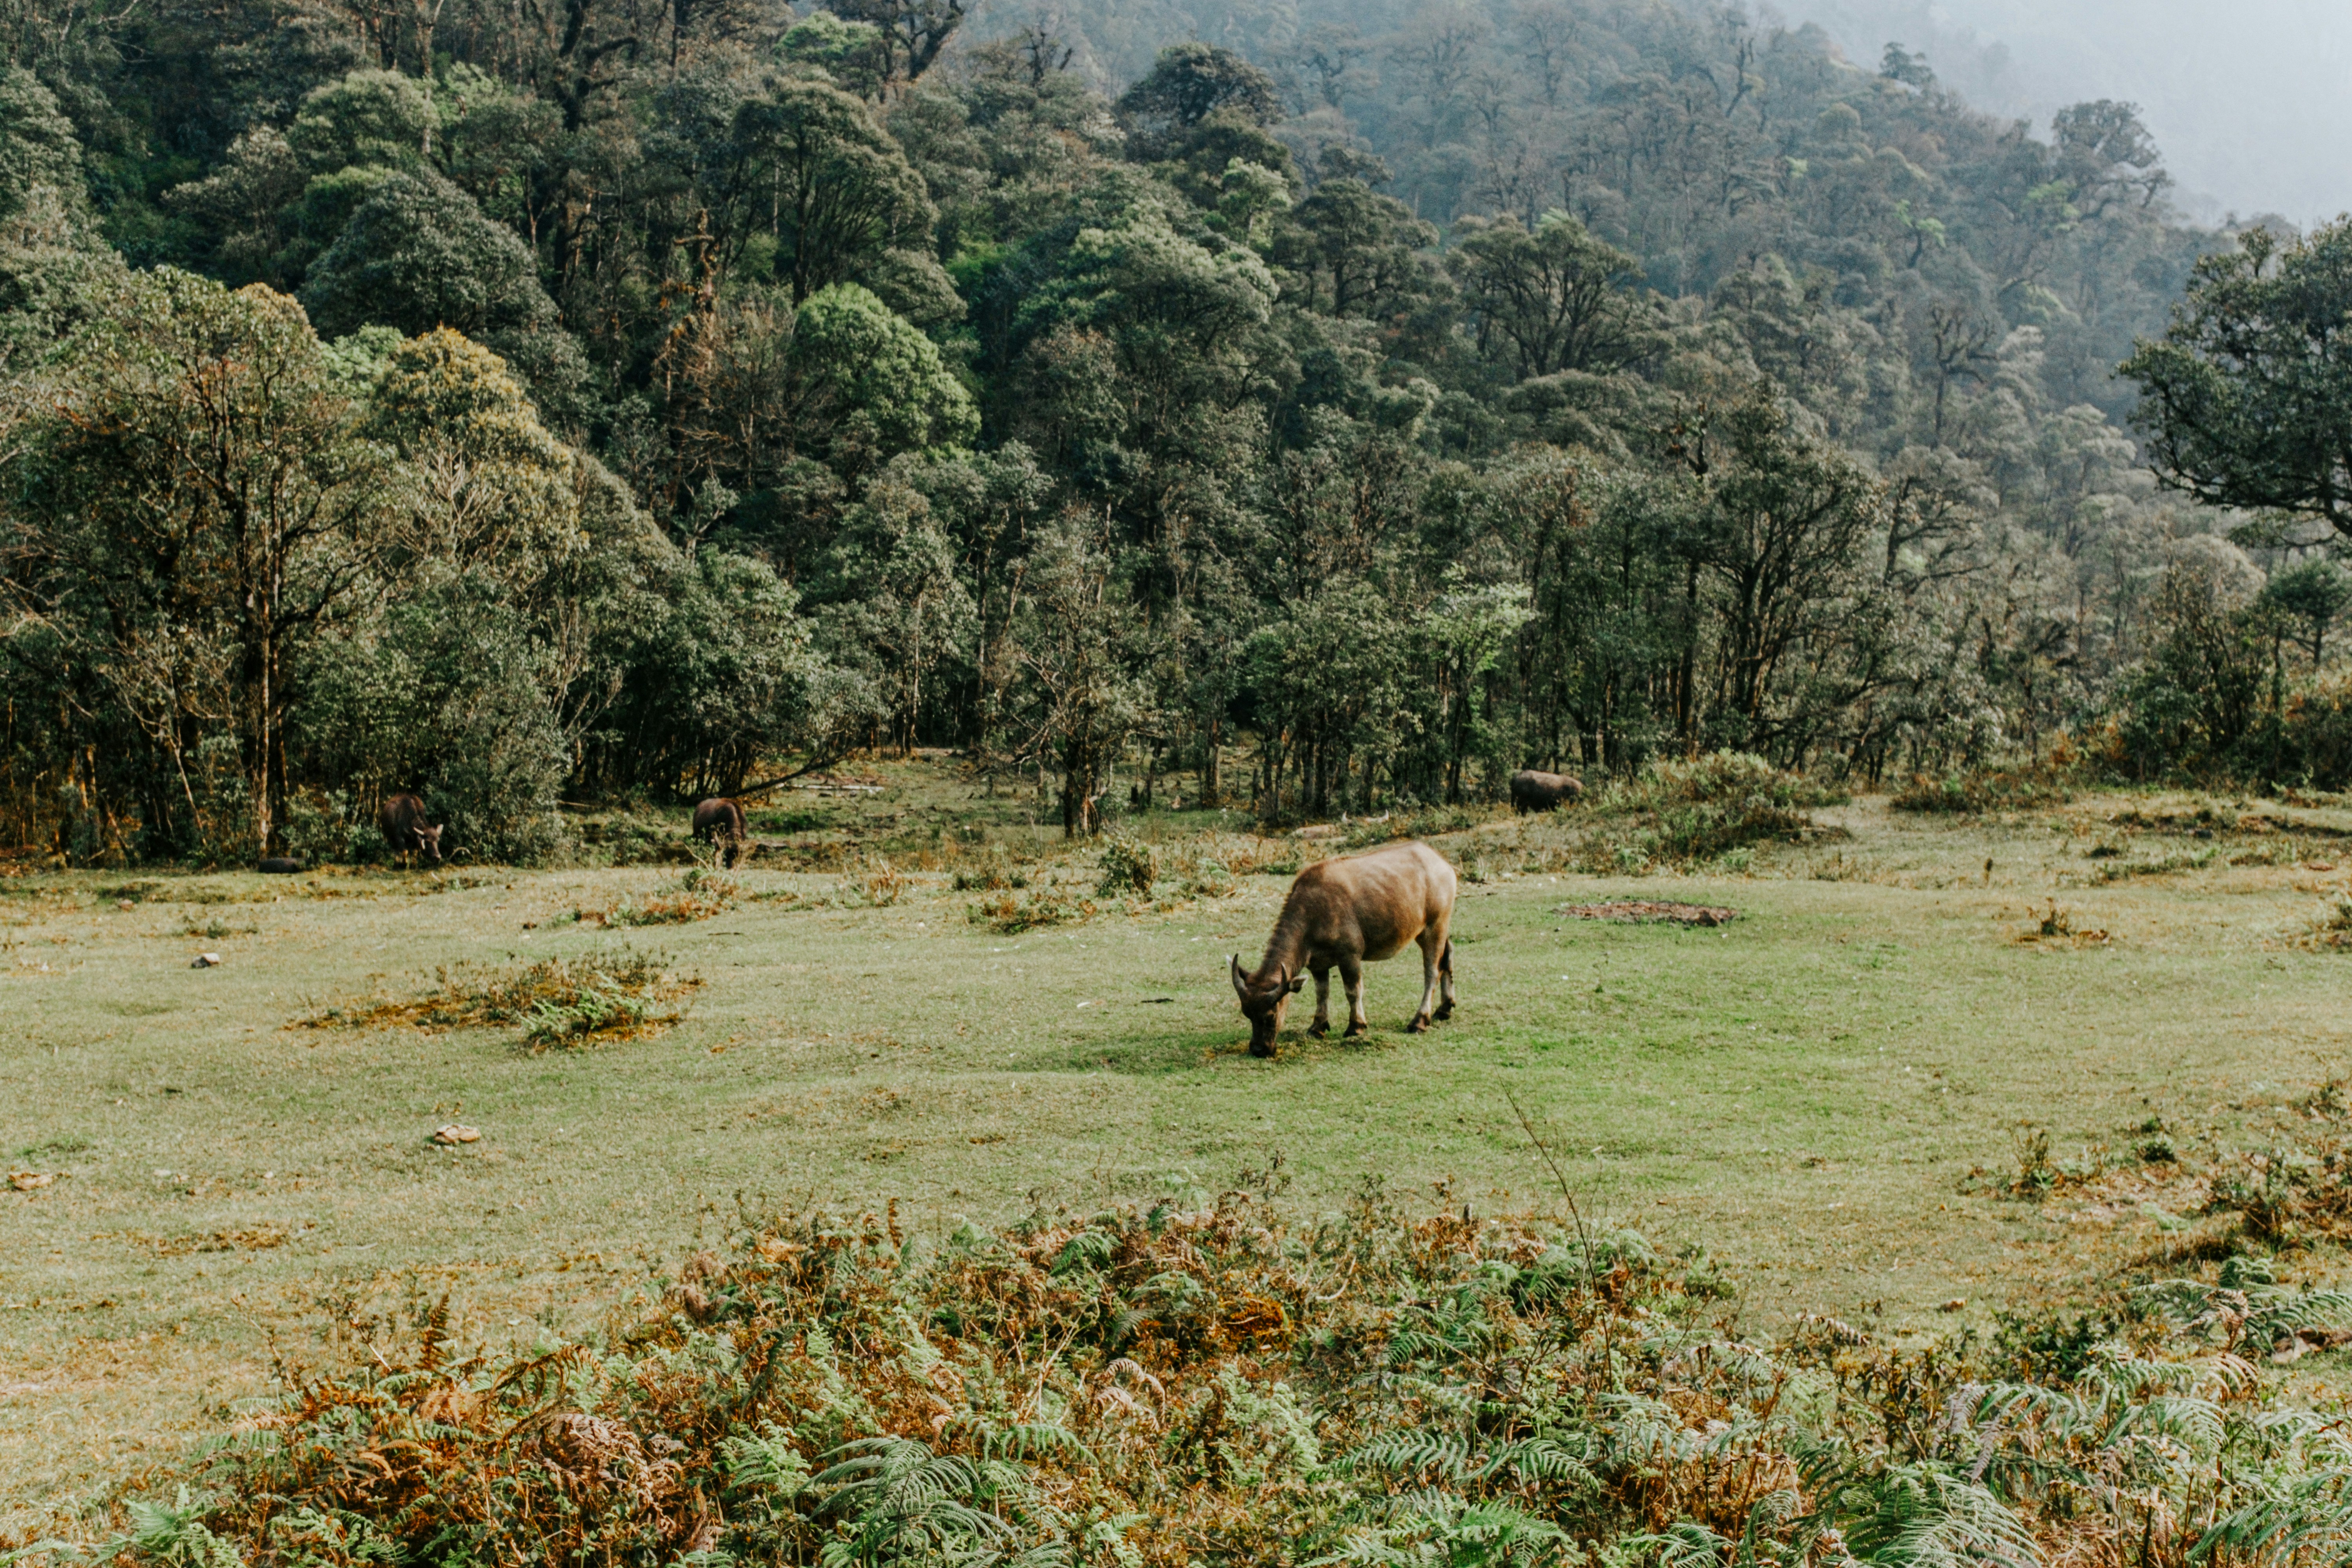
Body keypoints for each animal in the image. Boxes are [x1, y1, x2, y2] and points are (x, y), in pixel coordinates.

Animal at [379, 793, 443, 866]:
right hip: (389, 838)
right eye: (428, 842)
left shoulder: (415, 841)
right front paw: (404, 863)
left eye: (437, 841)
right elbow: (405, 852)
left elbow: (414, 855)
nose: (438, 857)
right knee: (396, 851)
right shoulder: (399, 837)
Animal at [1230, 839, 1457, 1057]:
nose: (1259, 1049)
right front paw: (1317, 1027)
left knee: (1432, 972)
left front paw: (1356, 1026)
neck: (1313, 911)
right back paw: (1445, 1009)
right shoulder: (1318, 965)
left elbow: (1353, 991)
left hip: (1434, 928)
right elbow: (1322, 993)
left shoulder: (1350, 956)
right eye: (1247, 1013)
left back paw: (1420, 1020)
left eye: (1271, 1015)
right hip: (1436, 930)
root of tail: (1441, 863)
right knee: (1448, 957)